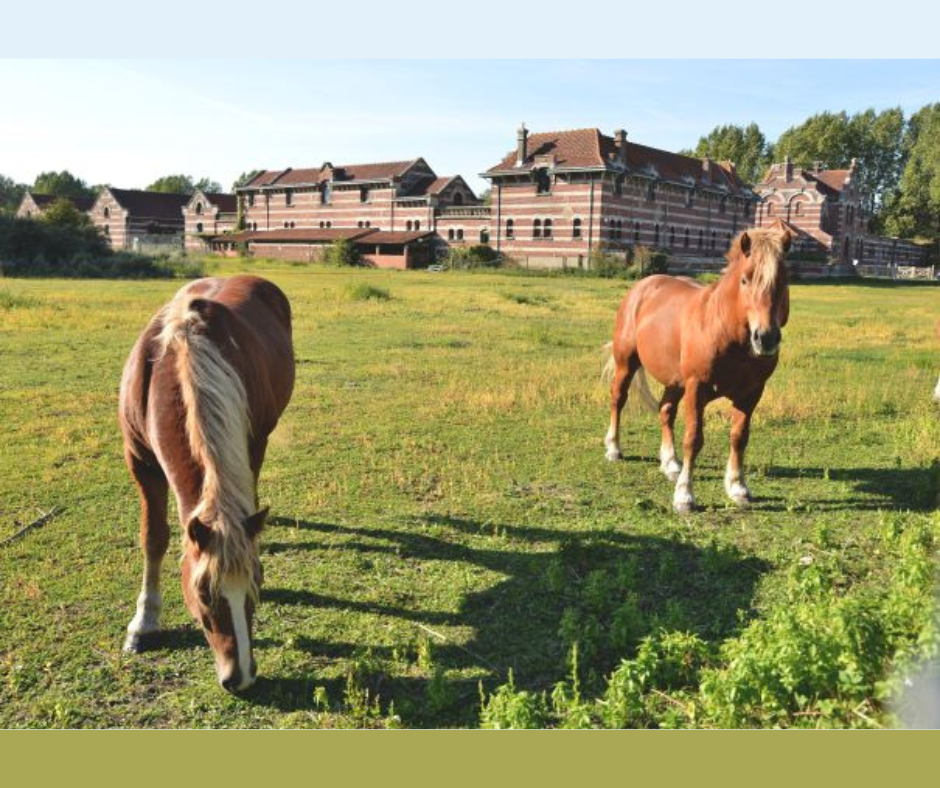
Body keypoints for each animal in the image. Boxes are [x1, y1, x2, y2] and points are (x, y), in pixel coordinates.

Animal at [119, 276, 294, 688]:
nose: (240, 675)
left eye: (257, 583)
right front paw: (144, 622)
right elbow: (154, 537)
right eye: (203, 594)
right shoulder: (140, 461)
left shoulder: (250, 442)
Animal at [604, 219, 792, 516]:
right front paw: (684, 496)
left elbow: (739, 436)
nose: (765, 338)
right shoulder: (697, 388)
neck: (726, 333)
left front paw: (738, 488)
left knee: (666, 411)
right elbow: (693, 438)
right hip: (627, 363)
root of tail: (644, 285)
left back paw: (670, 463)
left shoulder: (751, 393)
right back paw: (613, 449)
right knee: (618, 399)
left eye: (784, 281)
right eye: (745, 279)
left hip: (675, 380)